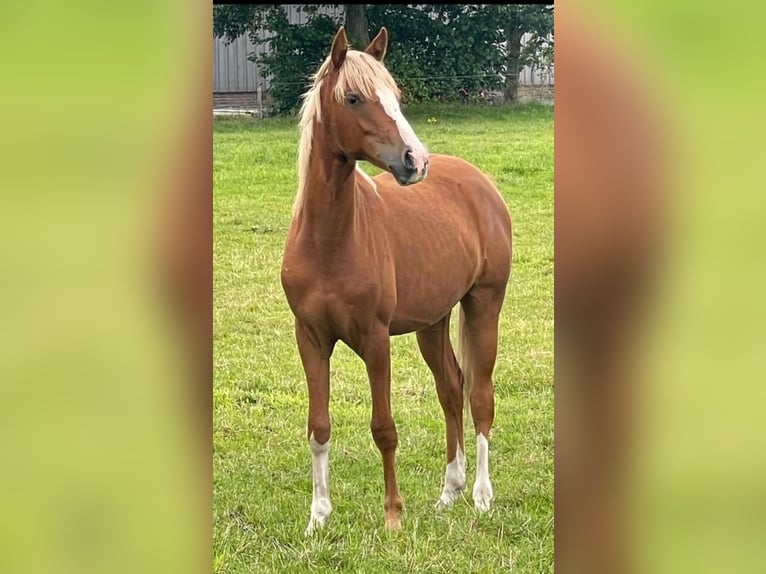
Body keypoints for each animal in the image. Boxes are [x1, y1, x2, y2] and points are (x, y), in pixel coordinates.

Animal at [280, 26, 513, 534]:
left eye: (397, 97)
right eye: (353, 98)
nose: (415, 160)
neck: (330, 241)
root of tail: (481, 184)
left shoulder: (375, 339)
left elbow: (384, 429)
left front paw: (392, 517)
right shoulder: (310, 338)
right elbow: (319, 427)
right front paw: (318, 517)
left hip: (484, 305)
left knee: (480, 397)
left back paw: (482, 496)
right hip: (433, 321)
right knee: (451, 389)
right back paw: (449, 492)